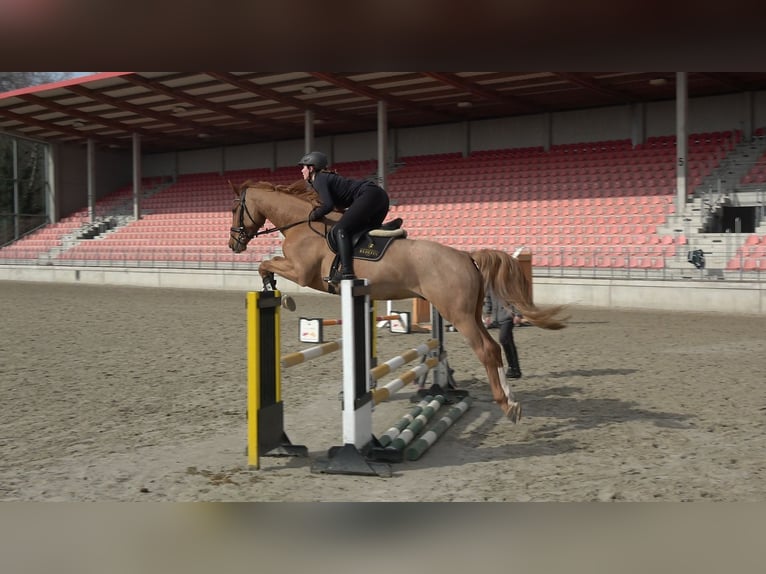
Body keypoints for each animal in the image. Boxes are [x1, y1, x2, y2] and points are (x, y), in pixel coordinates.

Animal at [225, 180, 568, 424]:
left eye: (233, 209)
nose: (233, 244)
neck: (301, 224)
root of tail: (465, 255)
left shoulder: (302, 272)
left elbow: (266, 264)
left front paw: (278, 293)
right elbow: (267, 264)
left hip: (458, 315)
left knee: (485, 350)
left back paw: (507, 405)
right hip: (468, 313)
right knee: (494, 348)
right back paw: (509, 401)